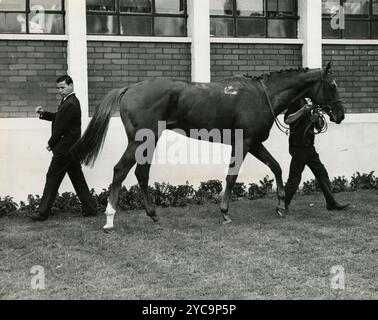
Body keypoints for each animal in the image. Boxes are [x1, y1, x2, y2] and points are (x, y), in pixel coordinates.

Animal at [71, 61, 346, 231]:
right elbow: (232, 176)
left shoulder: (255, 143)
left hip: (147, 141)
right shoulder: (244, 142)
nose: (340, 114)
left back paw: (153, 214)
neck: (263, 95)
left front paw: (280, 205)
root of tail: (129, 88)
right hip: (141, 140)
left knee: (141, 173)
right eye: (332, 85)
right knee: (121, 170)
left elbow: (277, 167)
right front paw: (225, 212)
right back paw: (109, 220)